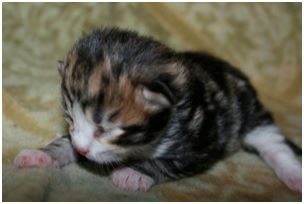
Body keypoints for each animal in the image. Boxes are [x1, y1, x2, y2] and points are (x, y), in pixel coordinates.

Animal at [14, 27, 302, 192]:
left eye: (105, 129)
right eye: (70, 119)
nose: (83, 151)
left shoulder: (202, 142)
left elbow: (165, 161)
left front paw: (133, 173)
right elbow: (66, 143)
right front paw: (41, 155)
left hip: (251, 115)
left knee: (273, 142)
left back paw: (293, 175)